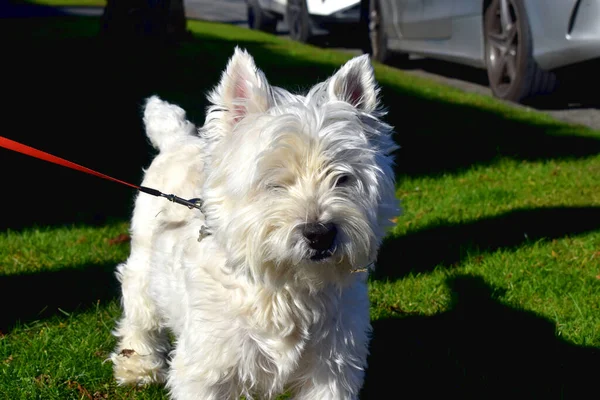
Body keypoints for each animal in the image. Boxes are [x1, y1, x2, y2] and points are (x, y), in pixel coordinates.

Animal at [110, 47, 400, 400]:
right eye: (274, 182)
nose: (320, 234)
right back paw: (138, 365)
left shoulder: (331, 370)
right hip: (144, 259)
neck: (286, 289)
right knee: (139, 308)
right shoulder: (209, 367)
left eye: (342, 178)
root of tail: (178, 140)